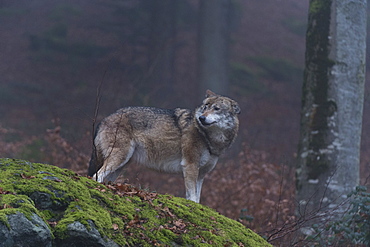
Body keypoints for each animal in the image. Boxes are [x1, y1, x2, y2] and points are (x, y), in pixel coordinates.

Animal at [88, 89, 241, 202]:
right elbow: (192, 197)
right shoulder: (190, 166)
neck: (207, 136)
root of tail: (105, 119)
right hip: (119, 158)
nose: (201, 117)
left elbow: (197, 198)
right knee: (97, 175)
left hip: (121, 165)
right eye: (205, 107)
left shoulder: (201, 173)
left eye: (216, 108)